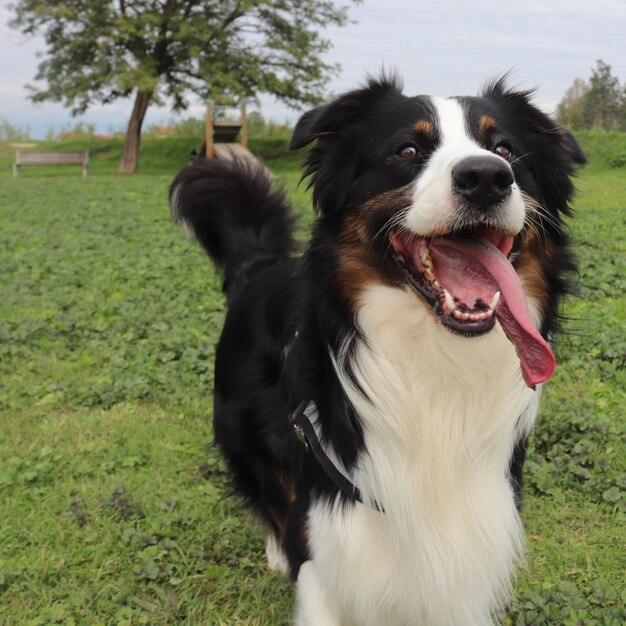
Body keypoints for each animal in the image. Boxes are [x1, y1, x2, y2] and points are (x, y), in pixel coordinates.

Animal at [168, 74, 584, 624]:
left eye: (506, 150)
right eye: (407, 150)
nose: (487, 177)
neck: (435, 366)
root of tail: (257, 266)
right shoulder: (330, 537)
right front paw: (287, 551)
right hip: (245, 423)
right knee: (265, 487)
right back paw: (277, 549)